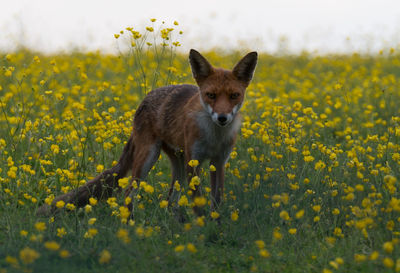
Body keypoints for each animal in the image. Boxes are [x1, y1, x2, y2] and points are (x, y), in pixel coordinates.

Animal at [36, 49, 256, 217]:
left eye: (234, 96)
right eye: (211, 95)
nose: (222, 118)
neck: (214, 137)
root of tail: (145, 99)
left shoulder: (218, 162)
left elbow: (217, 200)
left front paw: (216, 227)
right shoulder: (194, 161)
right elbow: (199, 202)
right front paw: (203, 229)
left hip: (178, 164)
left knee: (170, 199)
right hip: (149, 158)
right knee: (128, 193)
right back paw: (129, 226)